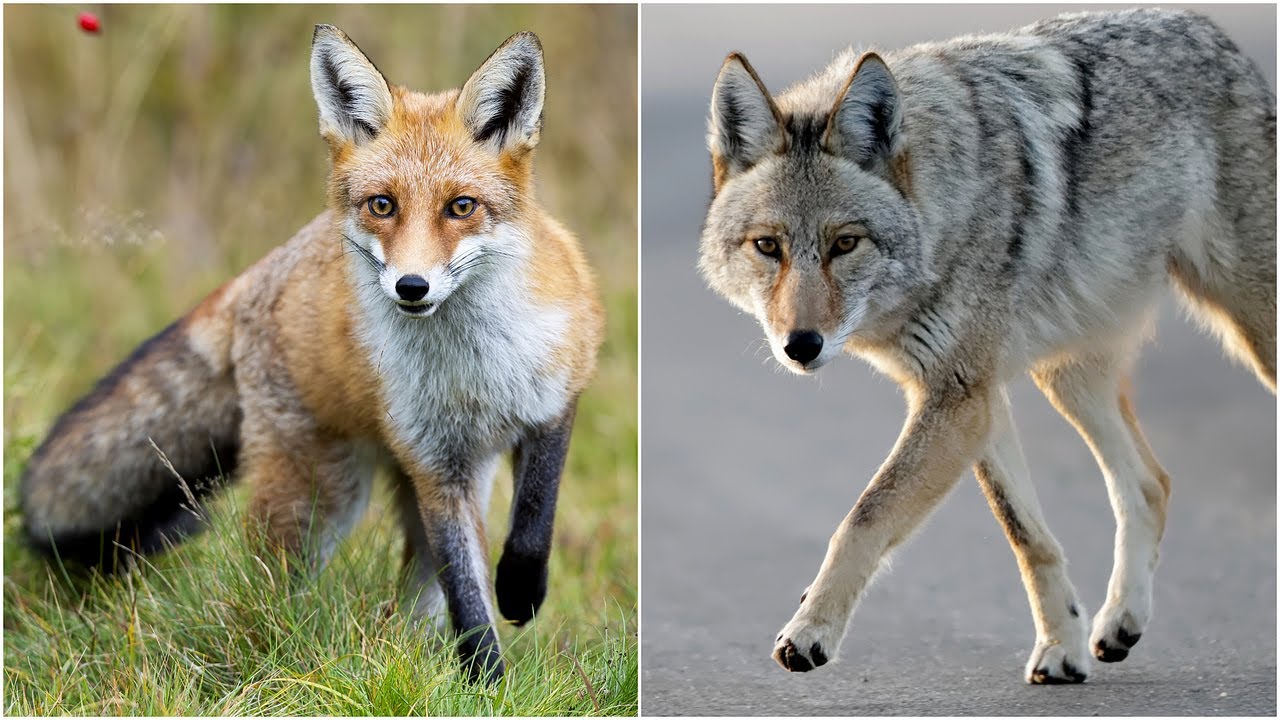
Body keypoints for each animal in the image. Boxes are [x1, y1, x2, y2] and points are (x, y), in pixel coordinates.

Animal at [20, 26, 604, 683]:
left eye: (461, 207)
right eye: (382, 205)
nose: (411, 287)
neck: (472, 366)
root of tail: (258, 272)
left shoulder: (555, 399)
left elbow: (533, 519)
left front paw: (521, 593)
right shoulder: (434, 463)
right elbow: (468, 599)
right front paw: (487, 682)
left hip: (434, 487)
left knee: (413, 595)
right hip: (320, 497)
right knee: (270, 583)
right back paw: (280, 649)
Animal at [699, 8, 1274, 685]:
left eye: (845, 244)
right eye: (769, 247)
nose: (801, 346)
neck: (944, 214)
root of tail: (1209, 28)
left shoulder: (956, 400)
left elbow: (863, 518)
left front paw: (810, 630)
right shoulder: (974, 394)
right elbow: (1028, 536)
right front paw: (1061, 648)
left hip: (1249, 332)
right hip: (1067, 375)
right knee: (1150, 484)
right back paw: (1119, 622)